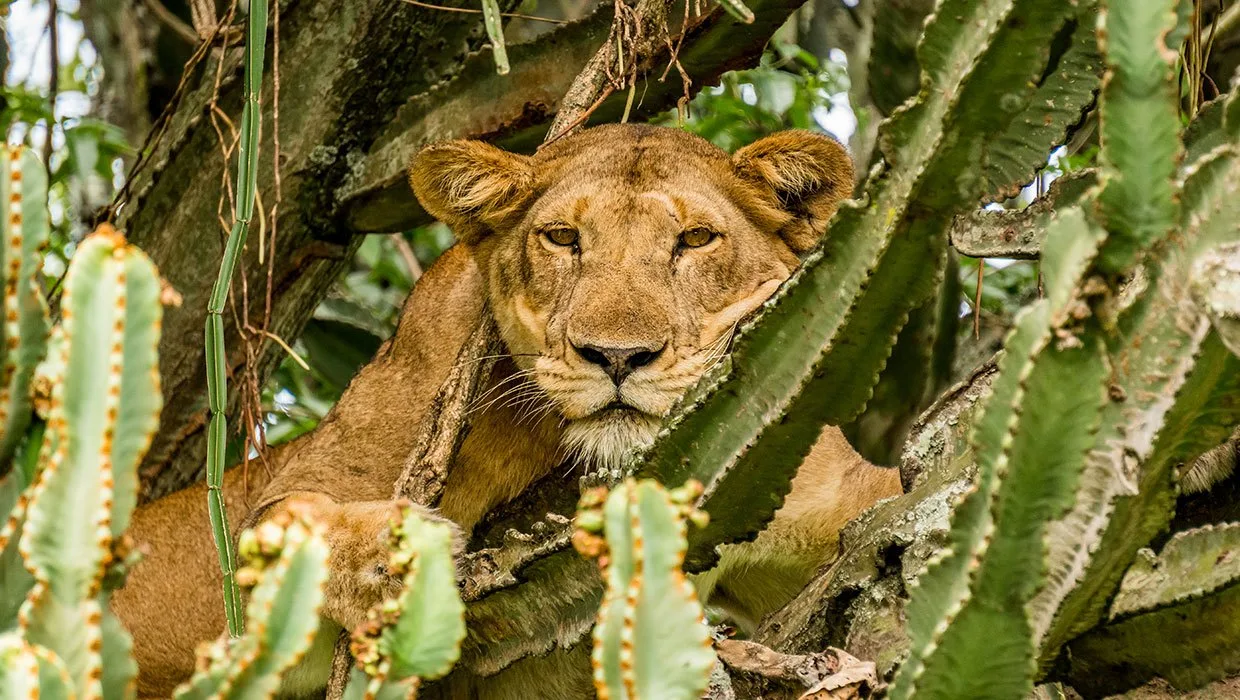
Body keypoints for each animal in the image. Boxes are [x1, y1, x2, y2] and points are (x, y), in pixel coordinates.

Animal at [112, 124, 904, 698]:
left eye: (695, 240)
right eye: (562, 238)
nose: (618, 356)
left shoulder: (821, 492)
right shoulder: (301, 484)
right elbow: (285, 525)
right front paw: (397, 562)